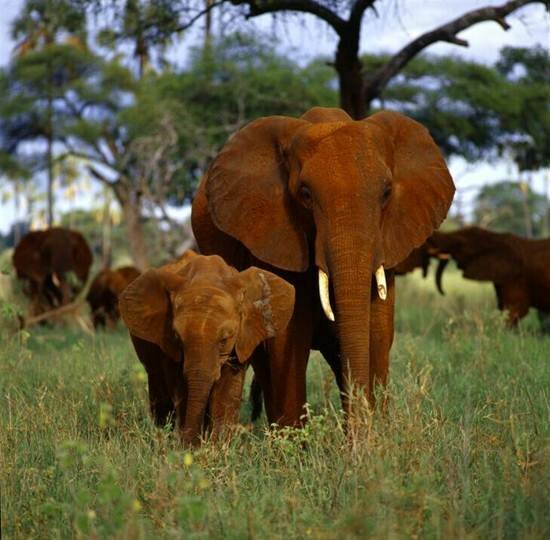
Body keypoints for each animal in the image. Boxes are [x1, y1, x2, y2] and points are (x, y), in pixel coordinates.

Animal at [118, 251, 296, 446]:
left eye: (225, 339)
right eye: (177, 338)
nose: (189, 444)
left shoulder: (242, 340)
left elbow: (227, 389)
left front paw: (218, 446)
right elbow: (181, 387)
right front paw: (190, 446)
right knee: (159, 389)